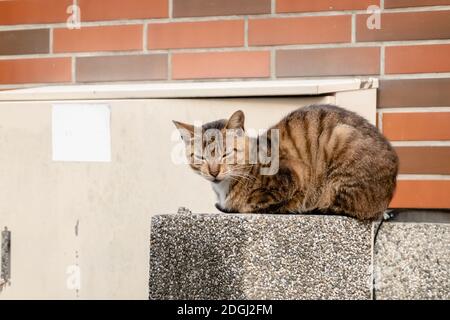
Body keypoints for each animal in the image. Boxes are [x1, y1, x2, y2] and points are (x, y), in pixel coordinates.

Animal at [172, 105, 398, 220]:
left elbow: (255, 203)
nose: (213, 171)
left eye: (226, 154)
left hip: (339, 137)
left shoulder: (293, 176)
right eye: (200, 157)